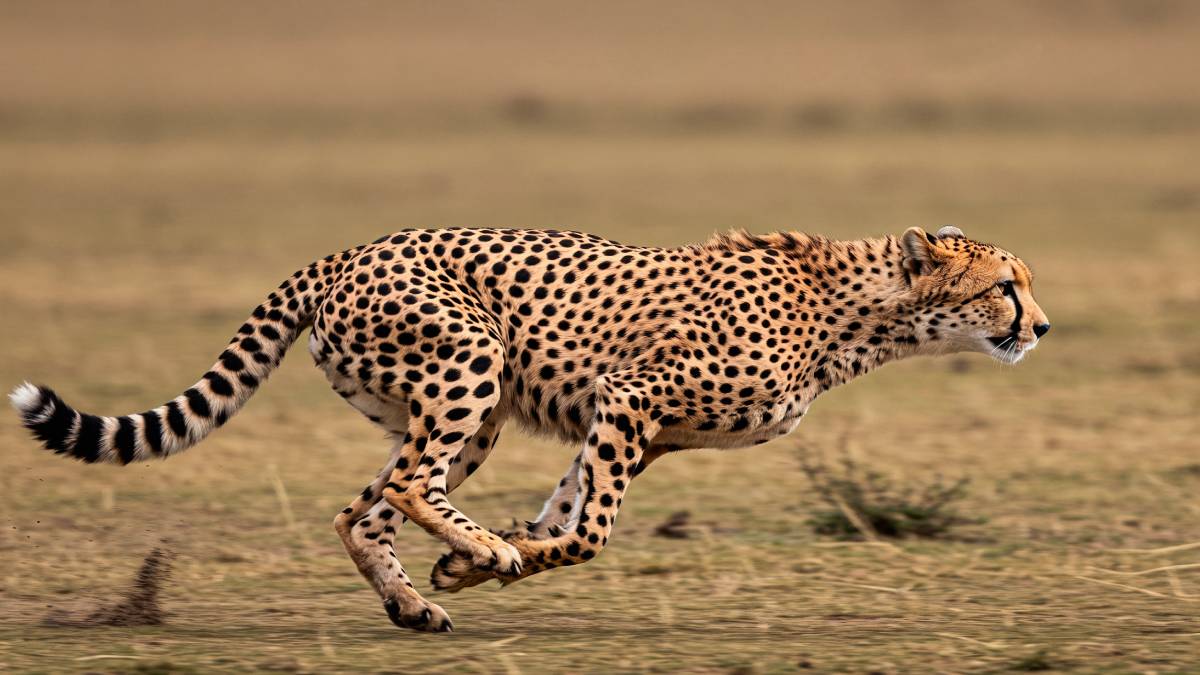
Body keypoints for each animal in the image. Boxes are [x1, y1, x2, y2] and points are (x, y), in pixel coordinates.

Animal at [11, 225, 1049, 632]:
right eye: (1006, 284)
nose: (1041, 327)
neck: (861, 311)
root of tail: (350, 248)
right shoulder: (630, 396)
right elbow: (590, 532)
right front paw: (497, 556)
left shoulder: (632, 425)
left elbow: (566, 512)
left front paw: (471, 566)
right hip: (471, 362)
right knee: (403, 486)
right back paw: (466, 559)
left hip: (467, 409)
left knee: (364, 508)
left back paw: (417, 602)